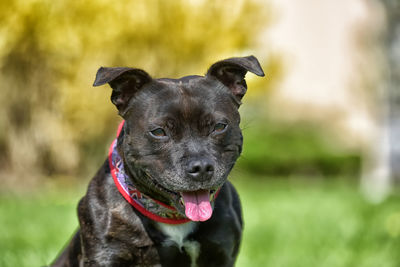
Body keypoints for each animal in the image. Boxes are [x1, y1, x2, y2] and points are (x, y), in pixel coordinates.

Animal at [51, 55, 264, 266]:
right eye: (159, 132)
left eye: (219, 127)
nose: (201, 167)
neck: (172, 216)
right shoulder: (106, 256)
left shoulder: (220, 254)